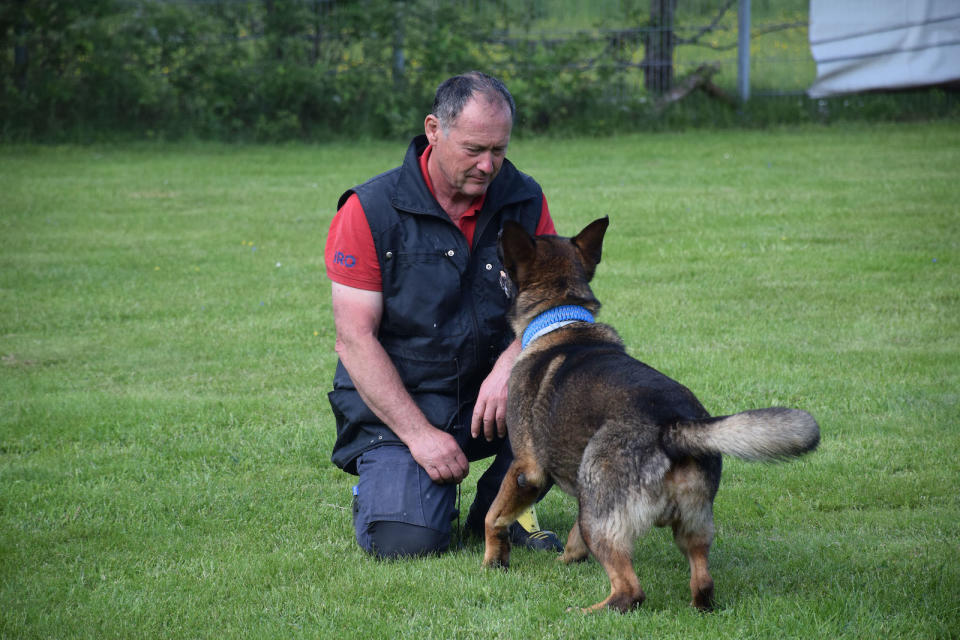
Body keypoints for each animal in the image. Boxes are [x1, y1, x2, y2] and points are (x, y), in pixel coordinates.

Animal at [484, 218, 820, 612]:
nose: (495, 238)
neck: (561, 318)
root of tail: (673, 427)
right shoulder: (585, 496)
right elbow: (572, 536)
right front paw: (567, 559)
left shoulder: (527, 471)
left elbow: (494, 516)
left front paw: (492, 561)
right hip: (683, 524)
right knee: (702, 583)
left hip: (601, 515)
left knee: (629, 592)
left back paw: (585, 612)